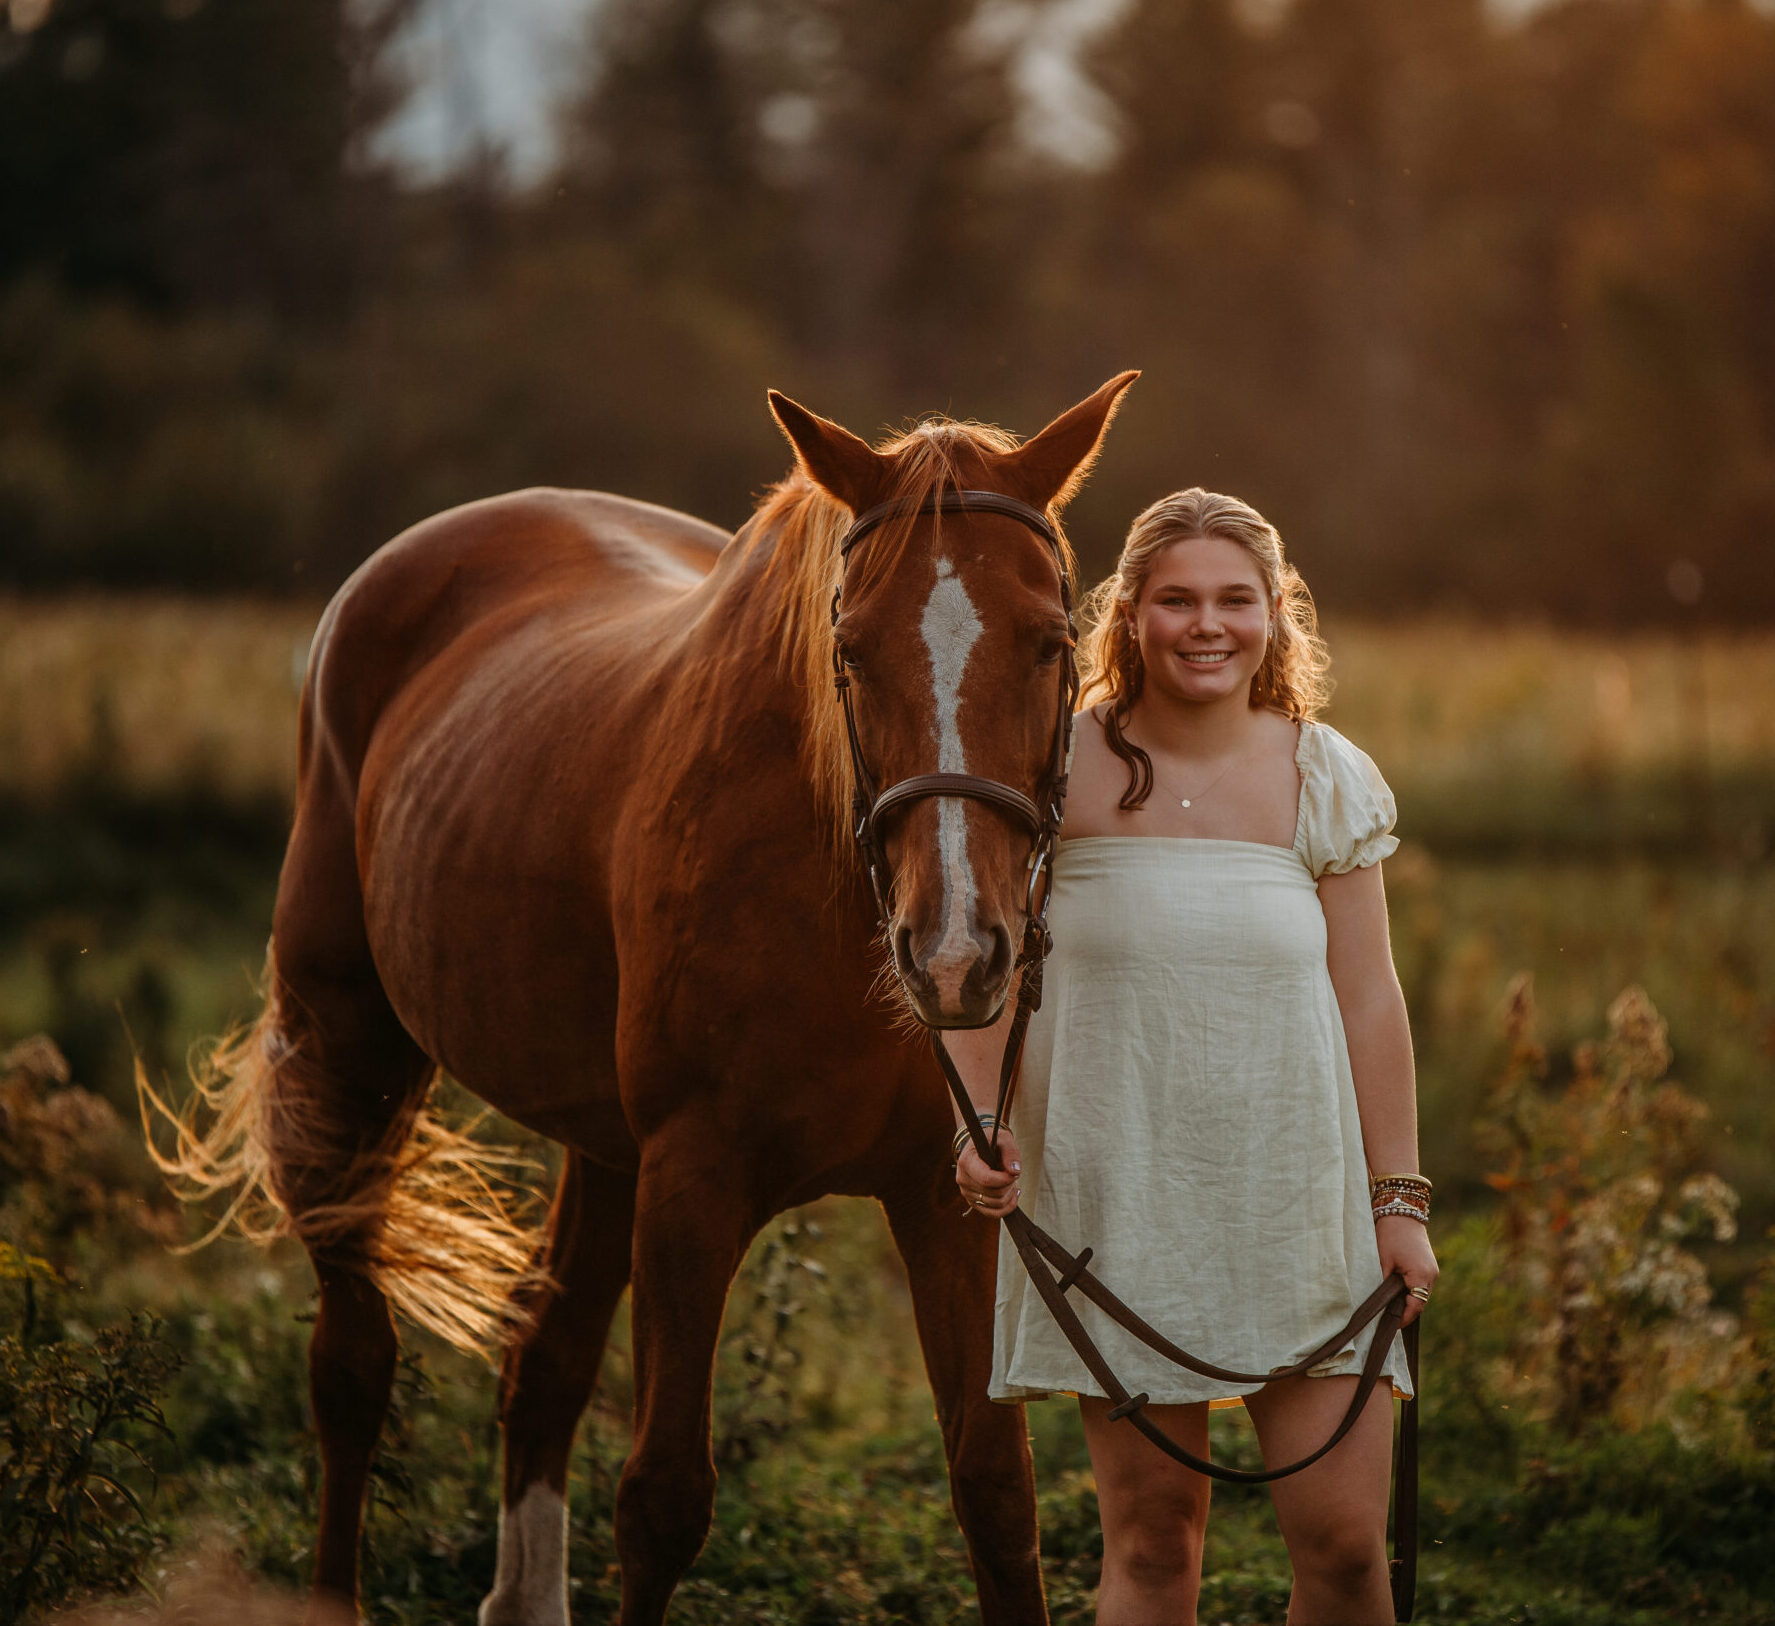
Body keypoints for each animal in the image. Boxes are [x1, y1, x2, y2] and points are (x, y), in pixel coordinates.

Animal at [144, 371, 1138, 1626]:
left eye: (1054, 641)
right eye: (850, 650)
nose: (957, 955)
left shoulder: (944, 1195)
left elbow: (994, 1493)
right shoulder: (691, 1184)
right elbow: (663, 1497)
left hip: (600, 1146)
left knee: (542, 1362)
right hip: (350, 1061)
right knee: (352, 1368)